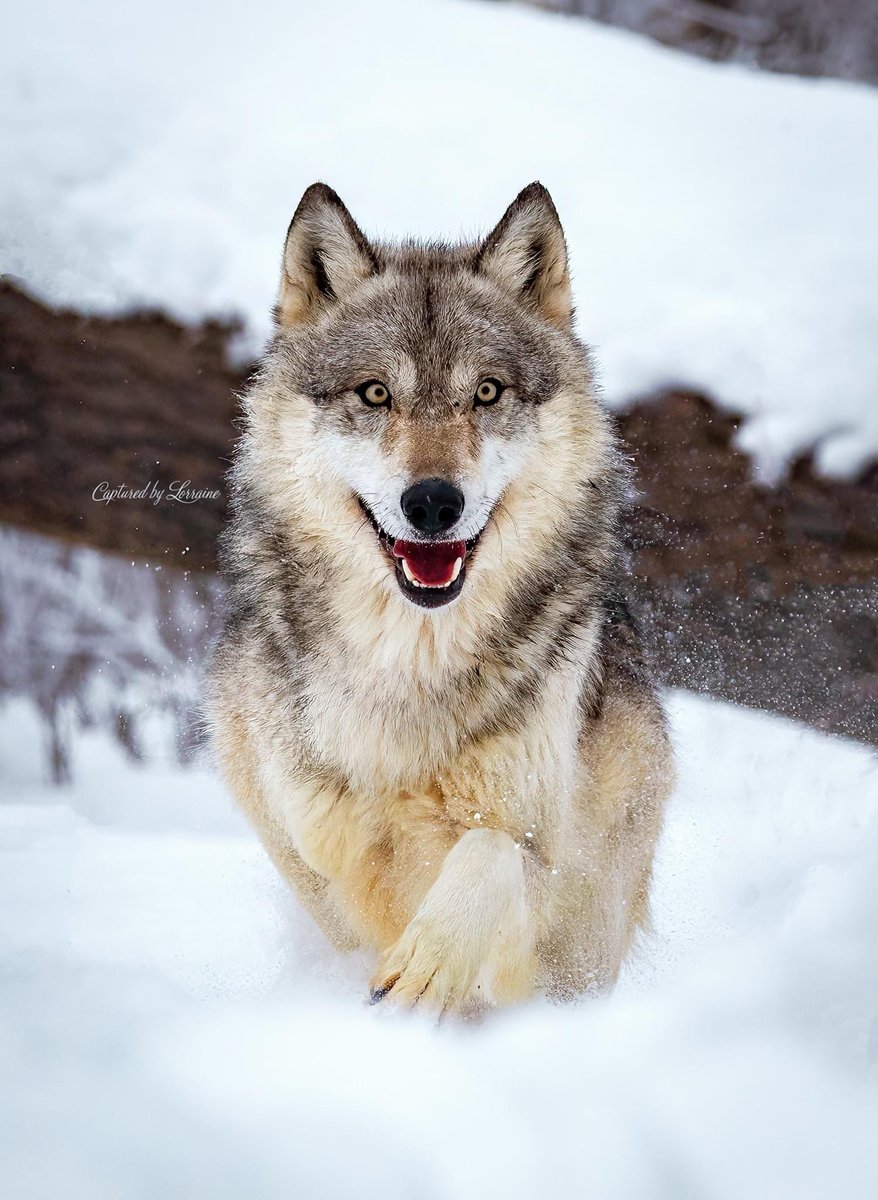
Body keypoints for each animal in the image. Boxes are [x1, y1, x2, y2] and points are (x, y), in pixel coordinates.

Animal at [209, 181, 673, 1012]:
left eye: (486, 393)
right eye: (375, 394)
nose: (431, 503)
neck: (408, 667)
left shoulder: (547, 868)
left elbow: (488, 852)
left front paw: (430, 960)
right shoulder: (308, 831)